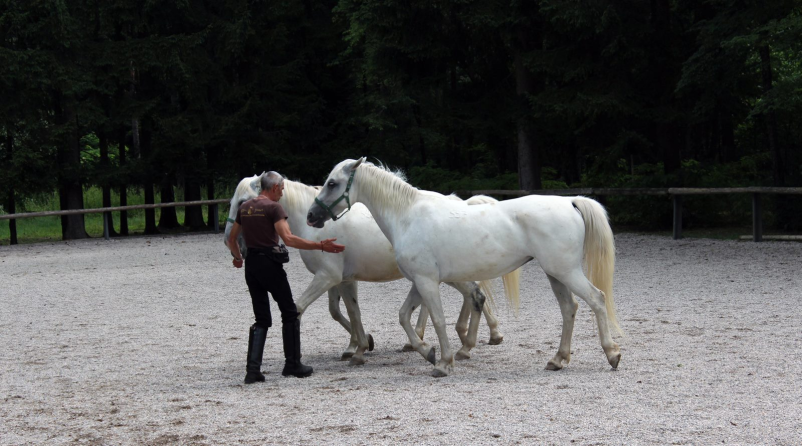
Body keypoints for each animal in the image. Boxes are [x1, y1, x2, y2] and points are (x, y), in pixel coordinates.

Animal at [222, 172, 510, 364]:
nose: (229, 240)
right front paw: (359, 346)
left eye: (243, 202)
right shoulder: (342, 280)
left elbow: (301, 309)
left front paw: (358, 348)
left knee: (473, 295)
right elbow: (345, 312)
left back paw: (472, 339)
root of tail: (461, 204)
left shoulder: (327, 277)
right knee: (465, 297)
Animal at [308, 158, 624, 376]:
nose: (312, 216)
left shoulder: (426, 281)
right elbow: (404, 316)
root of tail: (570, 202)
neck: (407, 215)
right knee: (569, 309)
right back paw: (557, 359)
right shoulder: (420, 281)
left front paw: (443, 363)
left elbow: (437, 320)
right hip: (556, 274)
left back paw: (612, 354)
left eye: (332, 183)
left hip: (566, 272)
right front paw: (428, 352)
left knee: (597, 299)